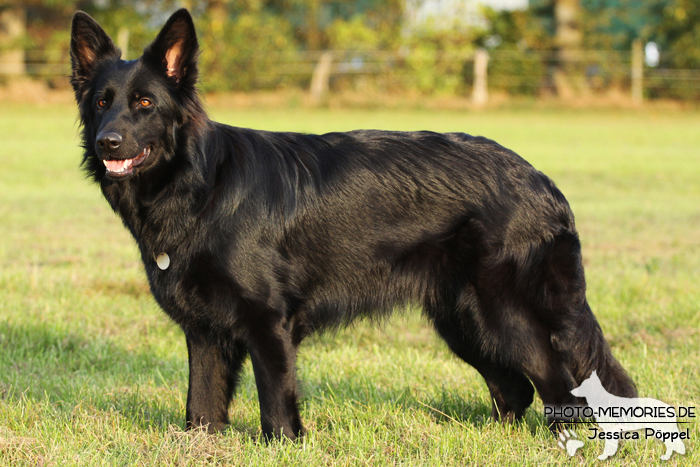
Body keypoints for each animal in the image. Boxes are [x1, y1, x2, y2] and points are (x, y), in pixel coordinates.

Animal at [69, 9, 636, 440]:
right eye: (102, 103)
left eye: (145, 103)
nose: (107, 143)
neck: (198, 185)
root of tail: (542, 181)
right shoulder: (206, 334)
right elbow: (201, 408)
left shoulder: (267, 324)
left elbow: (277, 407)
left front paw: (284, 446)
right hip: (463, 320)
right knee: (515, 388)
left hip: (506, 316)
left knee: (560, 390)